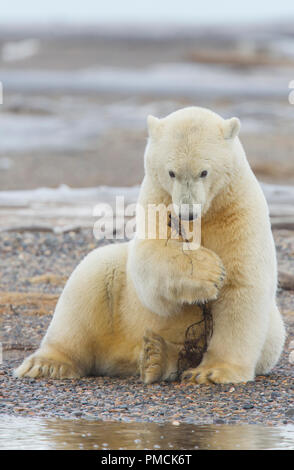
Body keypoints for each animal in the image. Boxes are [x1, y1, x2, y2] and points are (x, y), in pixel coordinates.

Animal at [14, 107, 284, 386]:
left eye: (204, 172)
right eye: (171, 172)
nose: (187, 212)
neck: (206, 215)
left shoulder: (239, 212)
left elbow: (241, 285)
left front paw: (212, 372)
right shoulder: (157, 200)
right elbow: (149, 259)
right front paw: (208, 270)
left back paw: (156, 356)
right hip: (117, 309)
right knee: (90, 280)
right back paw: (48, 363)